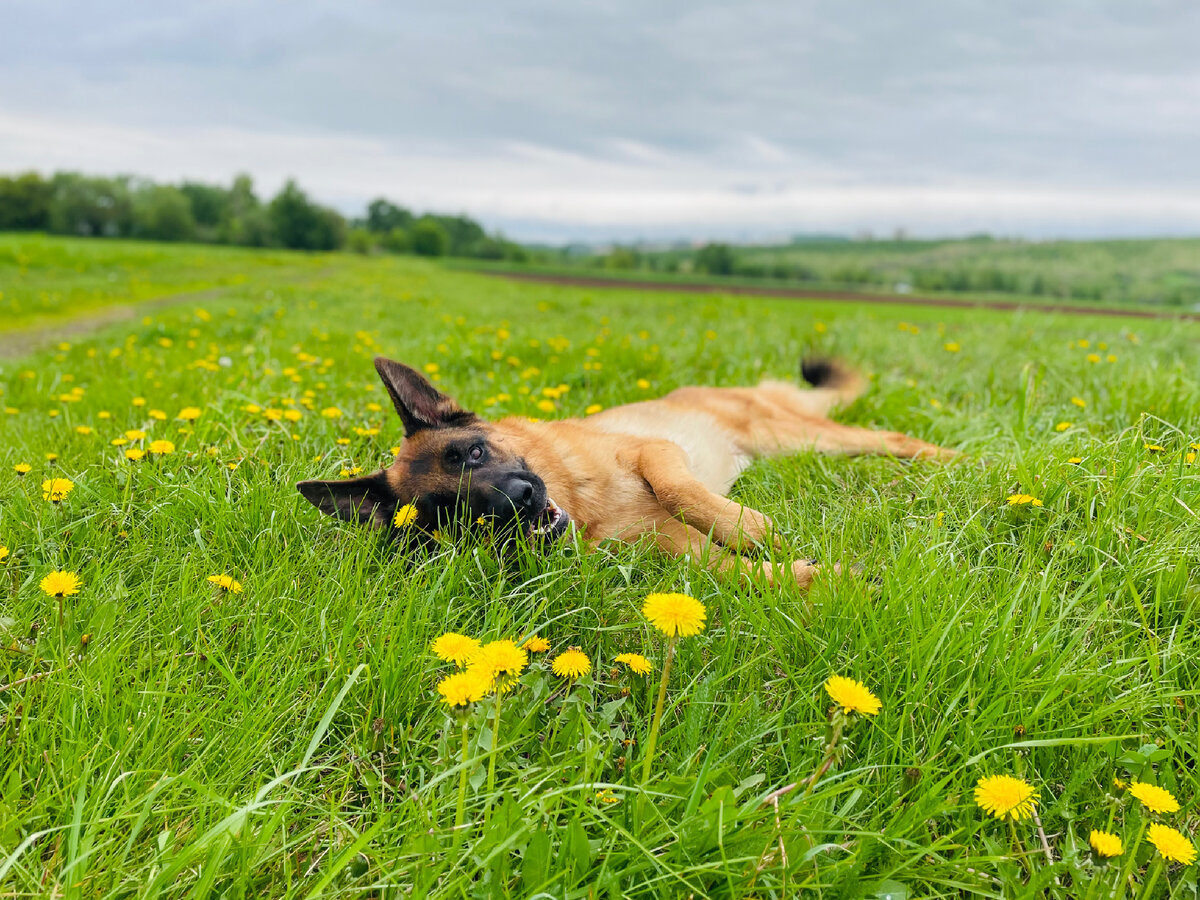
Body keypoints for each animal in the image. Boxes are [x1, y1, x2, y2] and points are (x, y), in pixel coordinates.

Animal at [300, 355, 955, 588]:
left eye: (474, 454)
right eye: (451, 511)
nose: (519, 498)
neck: (588, 508)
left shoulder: (652, 452)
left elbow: (681, 491)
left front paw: (749, 528)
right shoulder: (681, 553)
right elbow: (752, 576)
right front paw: (831, 580)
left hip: (802, 438)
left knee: (892, 439)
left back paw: (959, 460)